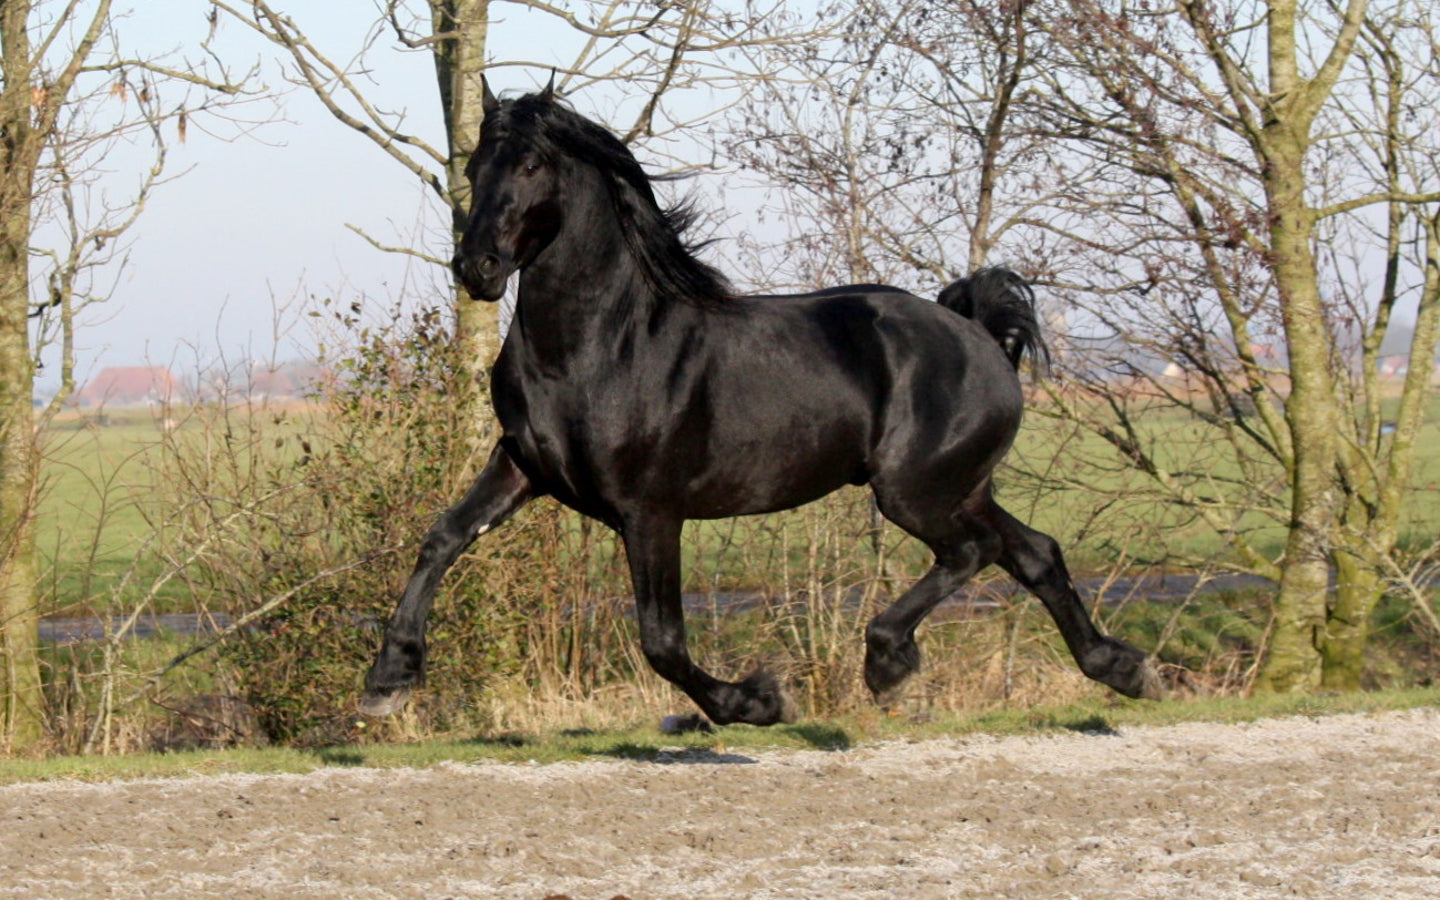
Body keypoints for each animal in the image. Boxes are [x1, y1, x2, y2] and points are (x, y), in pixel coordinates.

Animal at [358, 81, 1160, 726]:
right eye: (474, 166)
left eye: (530, 165)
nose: (476, 268)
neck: (598, 348)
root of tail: (980, 335)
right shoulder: (523, 465)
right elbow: (443, 536)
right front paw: (387, 680)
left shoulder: (651, 511)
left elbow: (661, 640)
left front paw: (758, 701)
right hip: (958, 485)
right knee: (1033, 552)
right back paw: (1121, 669)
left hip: (913, 490)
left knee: (974, 551)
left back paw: (888, 663)